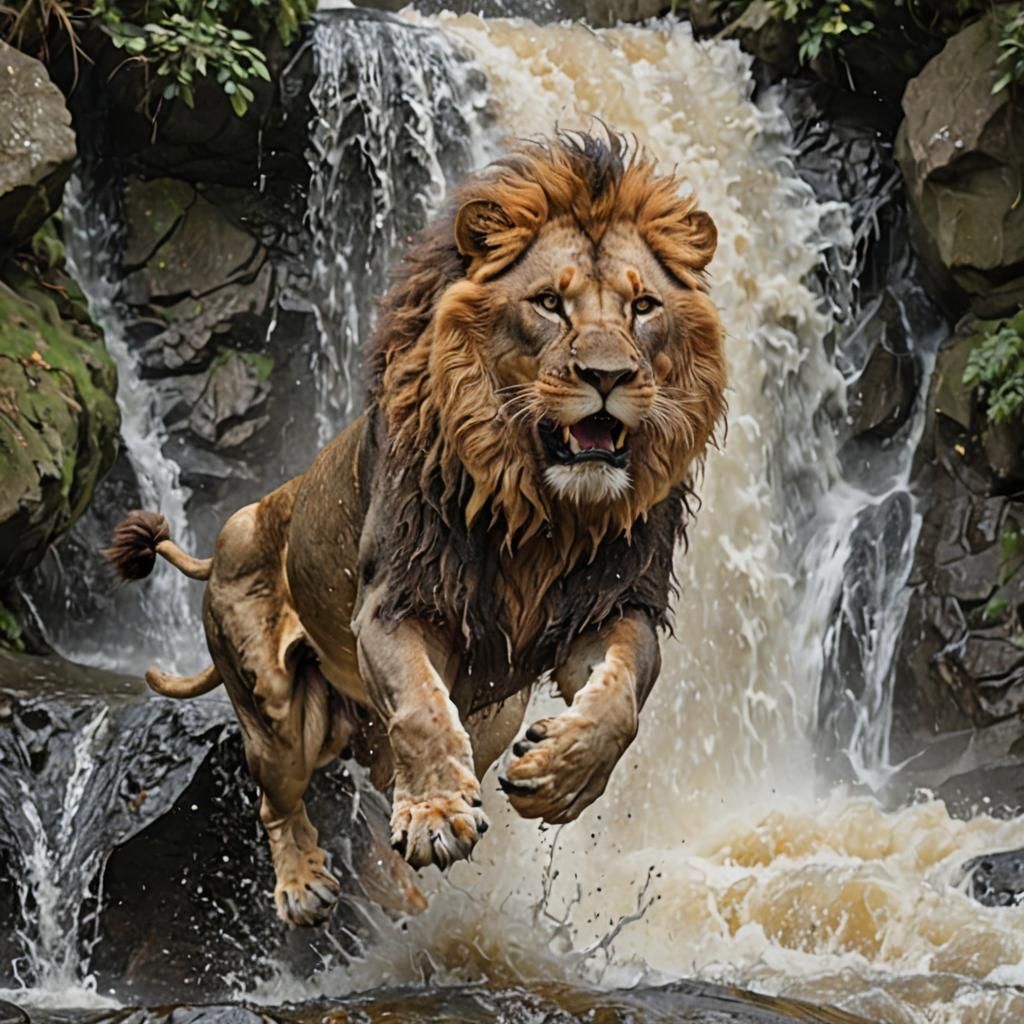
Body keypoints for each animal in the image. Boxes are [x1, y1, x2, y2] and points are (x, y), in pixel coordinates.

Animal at [104, 130, 727, 928]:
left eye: (643, 306)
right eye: (549, 304)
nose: (609, 375)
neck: (545, 511)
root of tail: (229, 536)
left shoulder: (611, 606)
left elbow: (620, 699)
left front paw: (559, 774)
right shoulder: (397, 602)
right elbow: (422, 708)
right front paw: (435, 817)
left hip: (491, 713)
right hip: (277, 709)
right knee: (277, 794)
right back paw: (304, 885)